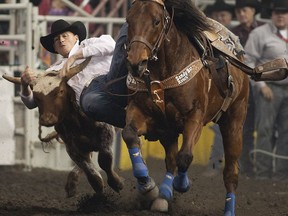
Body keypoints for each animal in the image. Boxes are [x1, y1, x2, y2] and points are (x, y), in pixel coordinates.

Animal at [121, 0, 250, 213]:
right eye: (128, 20)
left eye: (156, 21)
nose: (135, 63)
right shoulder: (143, 112)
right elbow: (129, 134)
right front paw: (145, 182)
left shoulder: (194, 116)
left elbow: (186, 156)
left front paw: (182, 184)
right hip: (168, 130)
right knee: (171, 160)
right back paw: (163, 195)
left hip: (234, 121)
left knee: (231, 172)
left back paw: (228, 209)